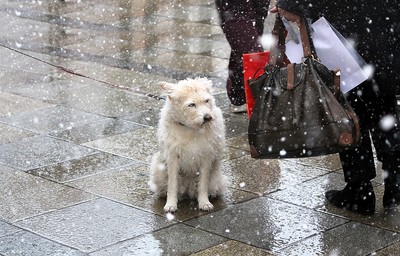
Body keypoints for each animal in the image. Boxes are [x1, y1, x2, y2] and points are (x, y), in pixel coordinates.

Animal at [148, 77, 227, 212]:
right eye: (191, 104)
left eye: (206, 100)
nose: (208, 118)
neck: (191, 128)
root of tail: (187, 192)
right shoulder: (173, 157)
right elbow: (172, 184)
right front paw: (171, 204)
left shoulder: (206, 157)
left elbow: (203, 183)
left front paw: (204, 202)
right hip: (158, 169)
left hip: (215, 180)